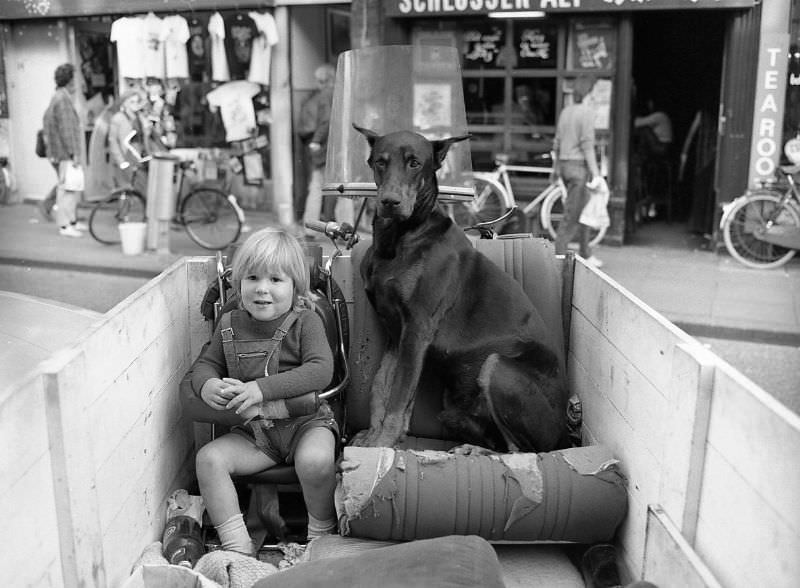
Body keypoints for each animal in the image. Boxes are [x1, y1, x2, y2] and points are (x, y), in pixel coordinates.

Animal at [354, 126, 564, 452]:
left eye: (415, 163)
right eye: (380, 162)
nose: (389, 202)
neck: (396, 239)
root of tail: (565, 435)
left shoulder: (418, 327)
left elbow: (398, 396)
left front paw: (382, 444)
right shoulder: (394, 330)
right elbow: (381, 385)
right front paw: (374, 436)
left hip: (496, 366)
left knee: (520, 452)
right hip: (453, 411)